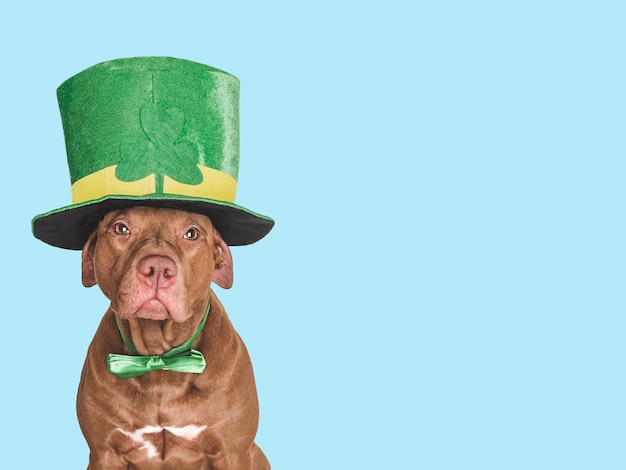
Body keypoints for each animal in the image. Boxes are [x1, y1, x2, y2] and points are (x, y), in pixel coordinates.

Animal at [75, 207, 268, 468]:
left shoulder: (232, 453)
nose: (157, 268)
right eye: (121, 228)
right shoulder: (104, 453)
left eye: (191, 233)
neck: (159, 358)